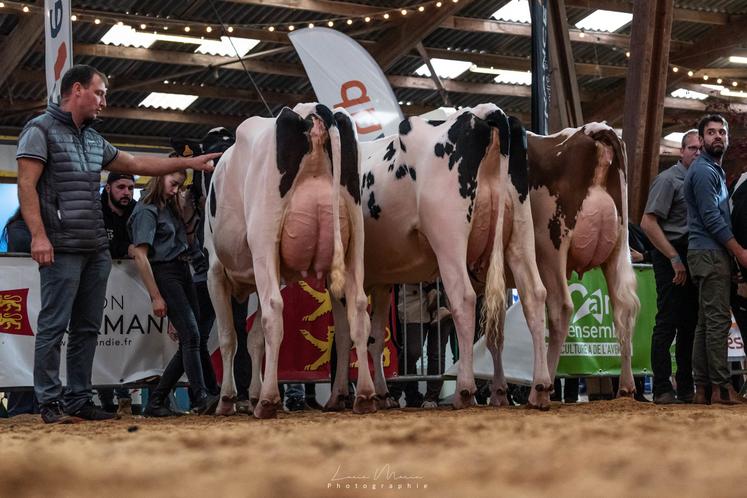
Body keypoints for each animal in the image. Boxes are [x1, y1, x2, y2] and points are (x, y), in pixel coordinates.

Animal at [203, 103, 374, 418]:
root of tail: (312, 111)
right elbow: (254, 338)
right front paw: (252, 394)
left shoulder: (215, 271)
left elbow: (230, 337)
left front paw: (229, 399)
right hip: (354, 241)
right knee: (356, 310)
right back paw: (362, 396)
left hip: (264, 239)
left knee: (274, 311)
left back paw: (269, 400)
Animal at [326, 103, 548, 410]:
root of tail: (485, 111)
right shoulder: (383, 281)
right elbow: (376, 337)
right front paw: (383, 394)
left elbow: (344, 336)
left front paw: (341, 395)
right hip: (519, 235)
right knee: (533, 297)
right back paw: (535, 389)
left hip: (449, 235)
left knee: (464, 299)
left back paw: (465, 389)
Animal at [488, 122, 640, 402]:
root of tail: (592, 130)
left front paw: (498, 393)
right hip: (617, 250)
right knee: (623, 312)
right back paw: (626, 387)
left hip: (551, 248)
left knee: (561, 307)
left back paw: (540, 388)